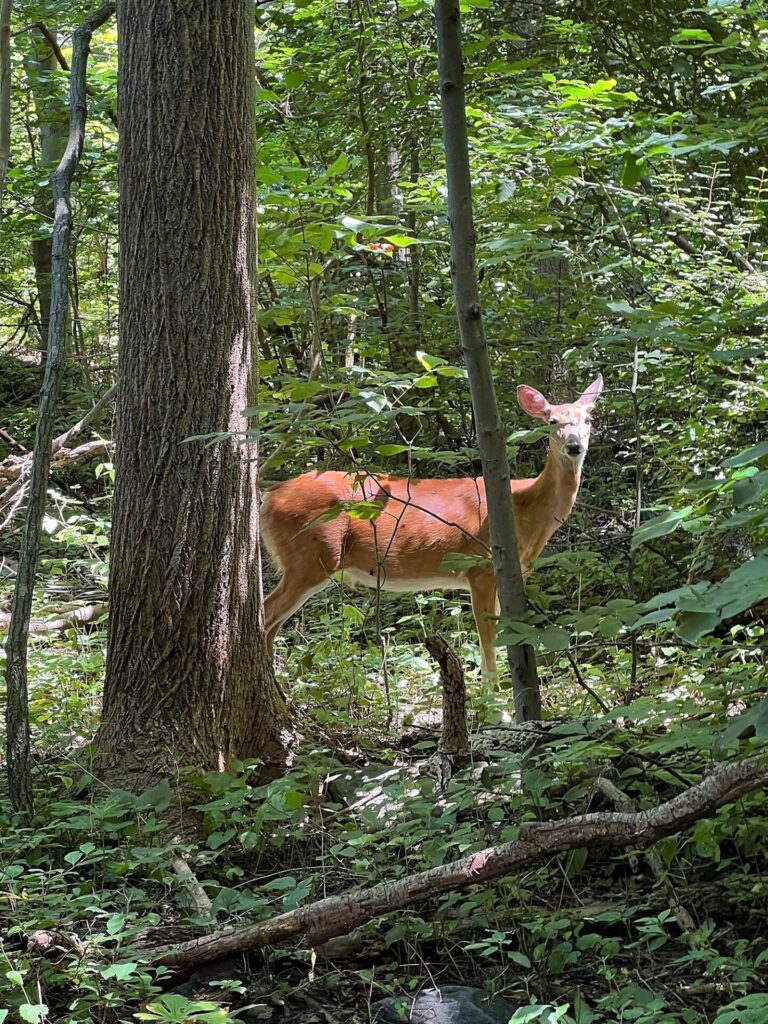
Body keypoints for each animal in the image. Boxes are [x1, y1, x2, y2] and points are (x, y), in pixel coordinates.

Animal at [261, 375, 603, 674]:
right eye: (552, 421)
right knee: (265, 616)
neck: (523, 506)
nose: (574, 447)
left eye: (588, 420)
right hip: (310, 557)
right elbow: (488, 640)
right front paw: (493, 698)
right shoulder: (480, 568)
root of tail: (269, 497)